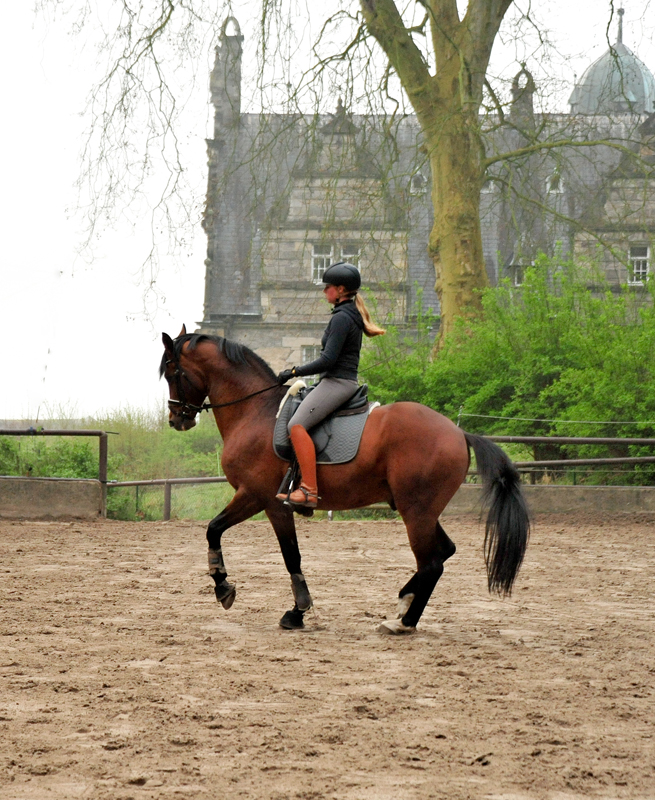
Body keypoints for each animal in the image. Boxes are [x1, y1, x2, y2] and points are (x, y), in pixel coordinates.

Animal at [161, 328, 532, 636]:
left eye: (172, 371)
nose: (176, 419)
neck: (255, 411)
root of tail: (458, 432)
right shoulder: (257, 498)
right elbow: (219, 530)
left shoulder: (261, 498)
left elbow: (277, 551)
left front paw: (275, 604)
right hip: (422, 511)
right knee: (443, 553)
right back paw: (407, 609)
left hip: (416, 512)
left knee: (432, 562)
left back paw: (402, 617)